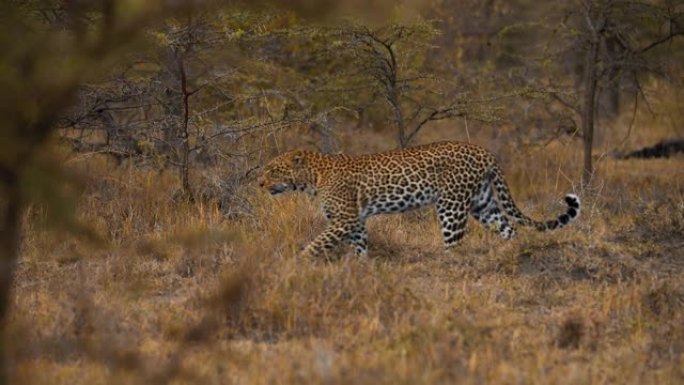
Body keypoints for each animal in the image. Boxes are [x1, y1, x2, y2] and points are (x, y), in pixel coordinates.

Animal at [260, 141, 580, 258]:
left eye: (273, 170)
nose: (259, 183)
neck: (312, 178)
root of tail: (484, 151)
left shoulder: (344, 219)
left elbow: (318, 242)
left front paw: (298, 261)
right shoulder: (355, 221)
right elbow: (360, 246)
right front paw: (359, 267)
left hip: (451, 206)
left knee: (455, 244)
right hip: (483, 203)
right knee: (509, 229)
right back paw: (513, 253)